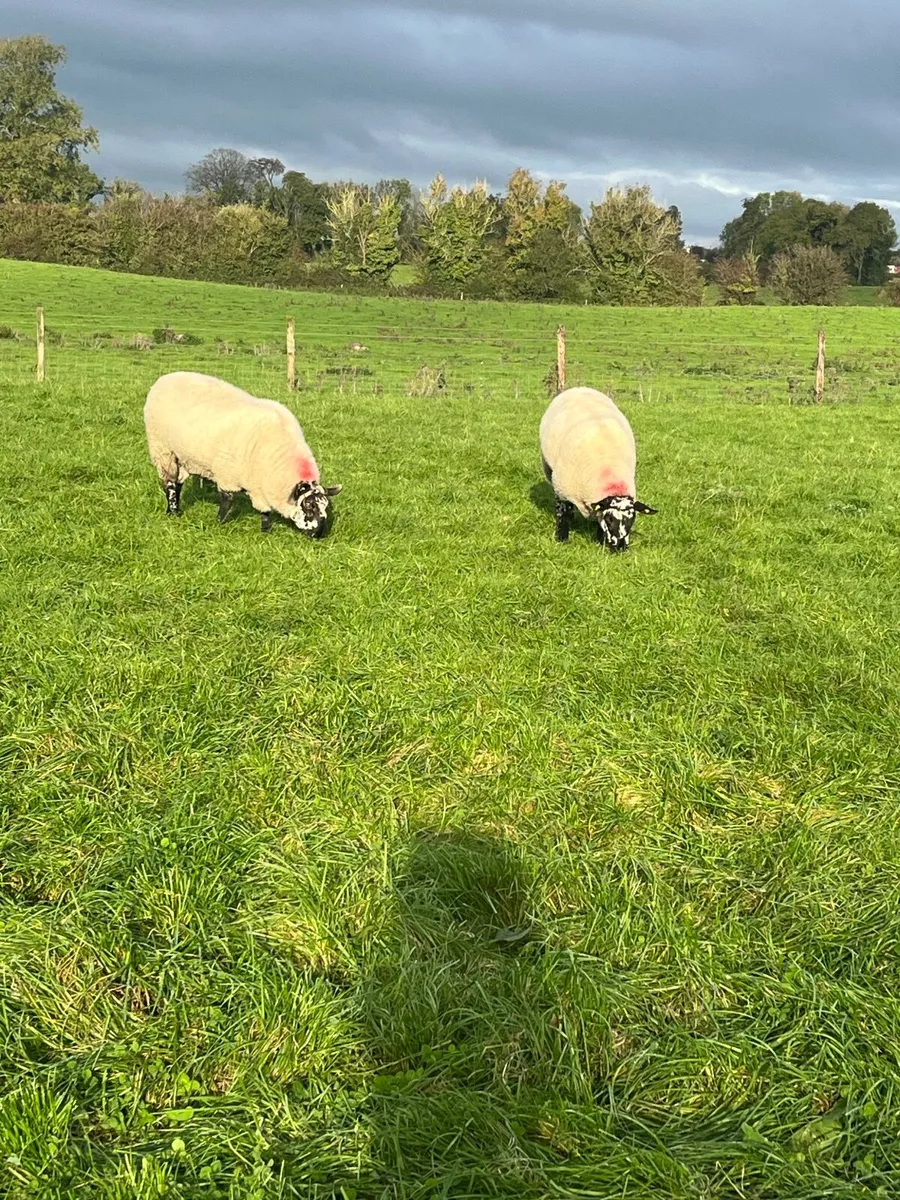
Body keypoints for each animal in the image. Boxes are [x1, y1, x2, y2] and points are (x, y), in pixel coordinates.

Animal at [144, 371, 342, 537]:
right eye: (308, 506)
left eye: (325, 507)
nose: (318, 534)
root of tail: (166, 377)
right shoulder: (227, 474)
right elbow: (227, 500)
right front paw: (219, 523)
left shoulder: (259, 484)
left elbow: (265, 511)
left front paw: (266, 531)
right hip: (162, 450)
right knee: (170, 483)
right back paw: (173, 511)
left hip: (183, 456)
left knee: (178, 482)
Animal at [539, 386, 657, 550]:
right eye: (610, 519)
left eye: (632, 519)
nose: (620, 547)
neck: (608, 470)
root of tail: (579, 388)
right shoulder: (563, 489)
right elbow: (563, 513)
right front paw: (562, 539)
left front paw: (600, 542)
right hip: (550, 470)